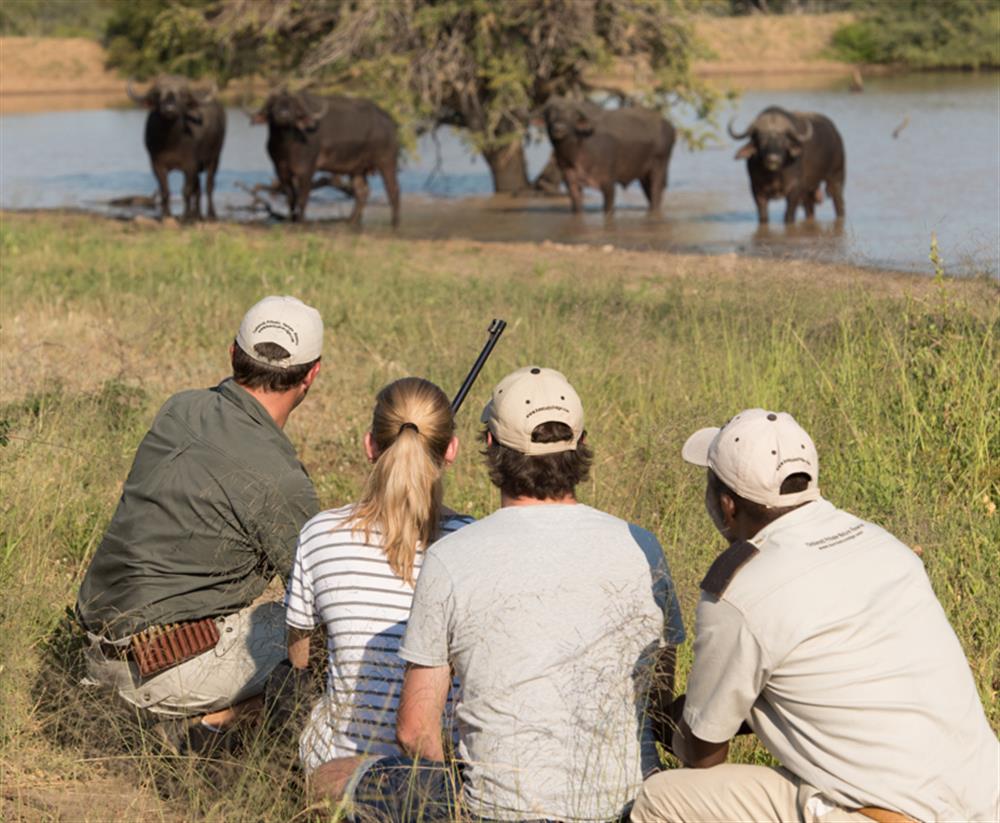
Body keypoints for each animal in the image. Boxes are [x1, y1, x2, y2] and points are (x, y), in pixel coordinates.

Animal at [127, 74, 225, 220]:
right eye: (158, 94)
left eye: (182, 94)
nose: (169, 109)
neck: (171, 142)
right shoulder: (156, 164)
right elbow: (165, 191)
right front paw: (166, 214)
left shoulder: (190, 165)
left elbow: (186, 191)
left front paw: (185, 216)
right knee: (198, 188)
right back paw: (196, 213)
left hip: (215, 157)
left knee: (209, 186)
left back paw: (210, 214)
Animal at [252, 91, 400, 227]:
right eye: (273, 105)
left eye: (292, 106)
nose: (283, 114)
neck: (287, 147)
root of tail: (390, 122)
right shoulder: (280, 170)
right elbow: (290, 197)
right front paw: (292, 220)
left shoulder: (307, 170)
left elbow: (303, 197)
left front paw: (301, 221)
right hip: (356, 169)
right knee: (362, 192)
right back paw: (350, 222)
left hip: (387, 161)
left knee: (393, 190)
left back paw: (394, 223)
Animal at [544, 97, 676, 216]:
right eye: (550, 114)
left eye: (572, 115)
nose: (559, 128)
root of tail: (669, 127)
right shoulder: (571, 182)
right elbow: (577, 207)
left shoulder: (608, 183)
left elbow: (608, 208)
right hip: (644, 175)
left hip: (659, 166)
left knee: (655, 194)